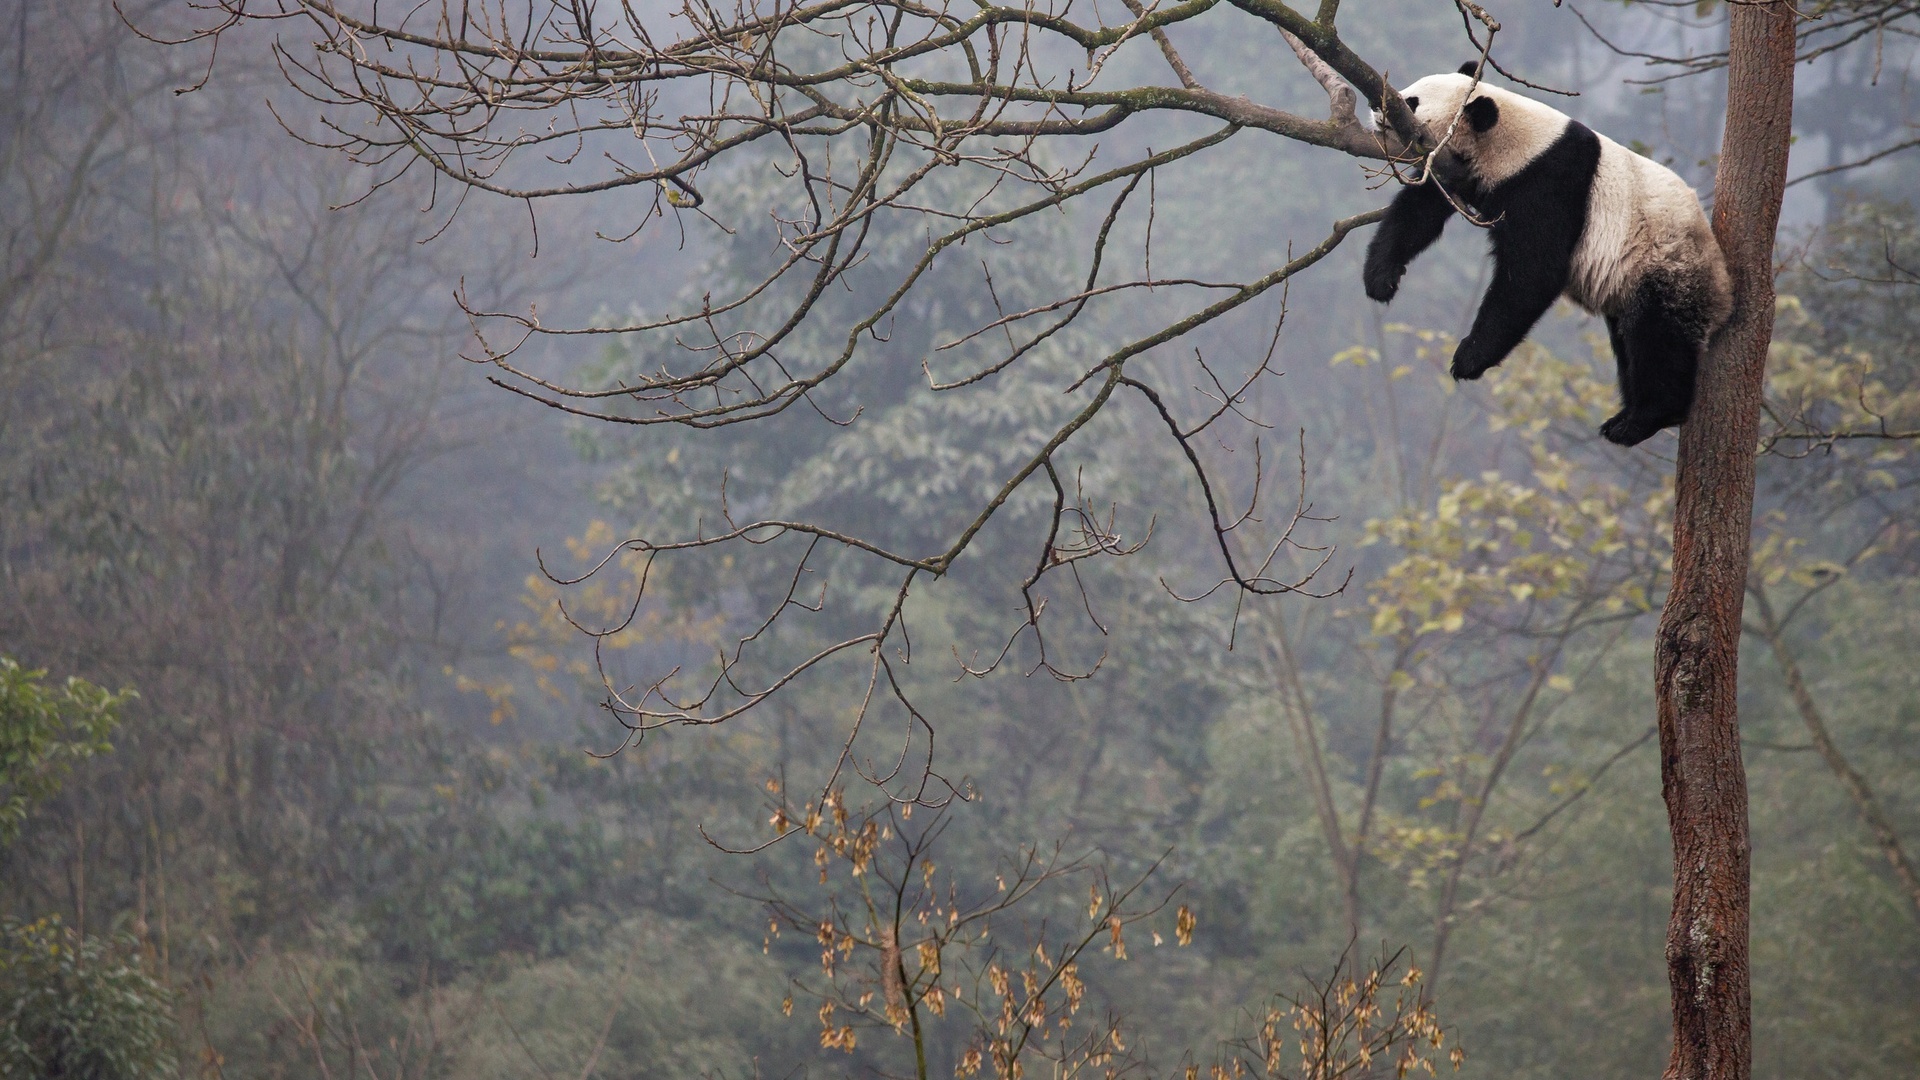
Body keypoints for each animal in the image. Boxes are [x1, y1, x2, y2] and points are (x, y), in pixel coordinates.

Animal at [1359, 63, 1735, 445]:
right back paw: (1624, 418)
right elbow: (1420, 210)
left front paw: (1469, 358)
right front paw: (1381, 278)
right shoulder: (1455, 169)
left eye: (1411, 101)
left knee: (1658, 339)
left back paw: (1643, 419)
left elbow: (1532, 273)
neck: (1514, 141)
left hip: (1666, 263)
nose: (1376, 107)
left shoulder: (1548, 183)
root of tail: (1724, 294)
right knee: (1629, 342)